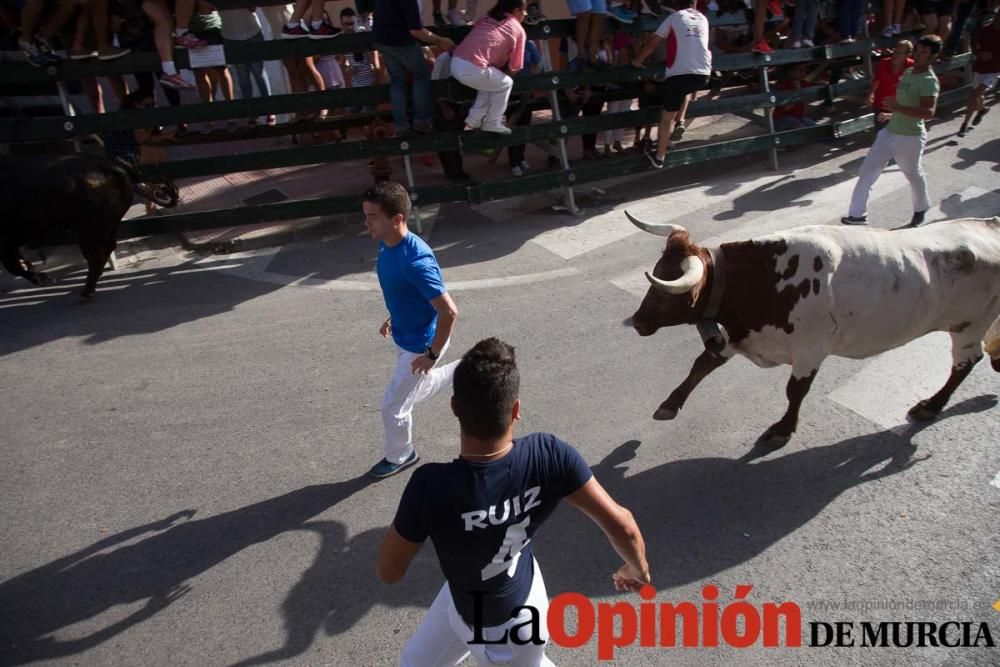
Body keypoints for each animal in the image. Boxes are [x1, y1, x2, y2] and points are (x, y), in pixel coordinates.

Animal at [624, 211, 1000, 452]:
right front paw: (670, 404)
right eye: (658, 271)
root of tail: (988, 224)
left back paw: (931, 406)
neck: (765, 277)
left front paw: (782, 430)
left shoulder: (810, 351)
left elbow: (795, 391)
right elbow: (702, 364)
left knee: (965, 362)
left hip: (969, 326)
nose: (638, 322)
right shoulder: (738, 335)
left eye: (665, 291)